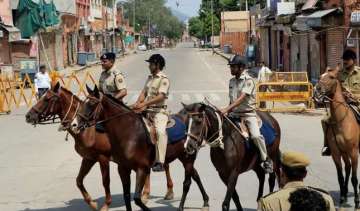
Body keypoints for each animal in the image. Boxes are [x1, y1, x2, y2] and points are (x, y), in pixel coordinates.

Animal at [76, 84, 211, 211]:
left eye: (92, 103)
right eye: (82, 103)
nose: (75, 124)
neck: (129, 132)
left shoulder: (142, 169)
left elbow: (137, 198)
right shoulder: (123, 169)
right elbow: (126, 196)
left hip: (189, 158)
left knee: (189, 180)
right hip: (184, 157)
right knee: (195, 175)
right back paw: (205, 201)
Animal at [314, 67, 358, 208]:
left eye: (332, 77)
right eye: (320, 76)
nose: (317, 90)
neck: (341, 121)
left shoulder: (354, 152)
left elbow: (354, 178)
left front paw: (357, 202)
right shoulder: (336, 153)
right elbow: (340, 176)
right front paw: (342, 198)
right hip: (344, 152)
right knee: (347, 168)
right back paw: (345, 194)